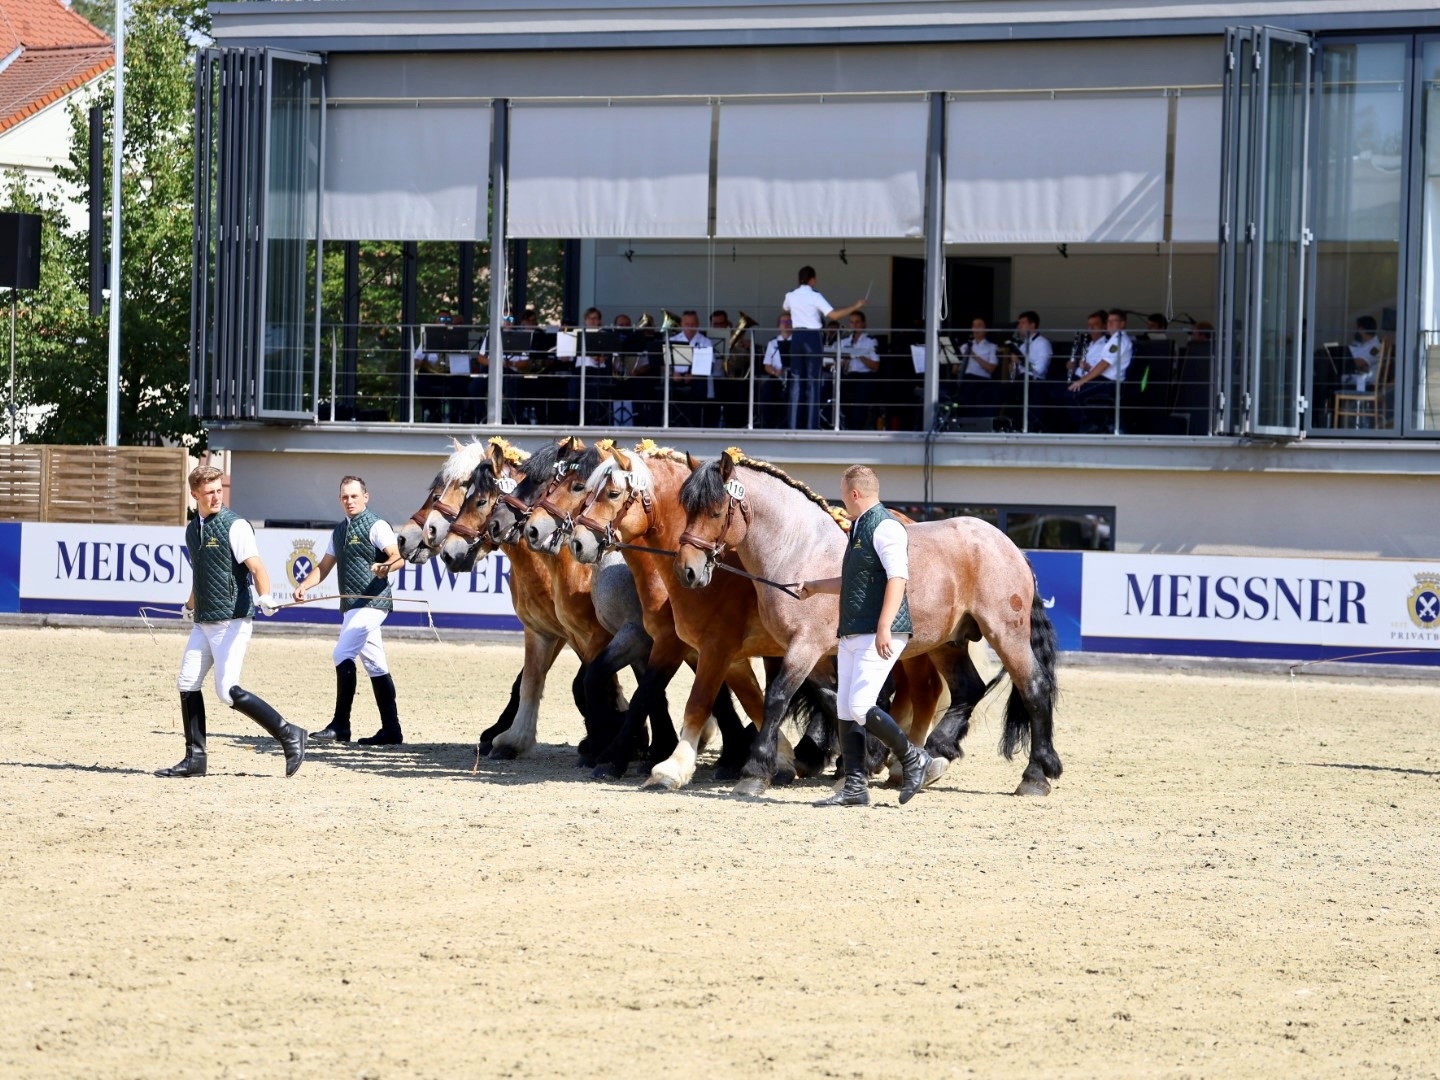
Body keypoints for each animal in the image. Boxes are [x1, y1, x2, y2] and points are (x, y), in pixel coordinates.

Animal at [671, 452, 1059, 800]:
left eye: (716, 511)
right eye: (687, 509)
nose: (688, 570)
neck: (800, 551)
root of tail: (1009, 546)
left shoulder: (804, 647)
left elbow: (777, 699)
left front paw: (755, 773)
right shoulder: (819, 655)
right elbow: (837, 703)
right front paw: (862, 762)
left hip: (1005, 634)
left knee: (1034, 688)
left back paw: (1035, 775)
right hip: (948, 643)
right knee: (968, 690)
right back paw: (934, 752)